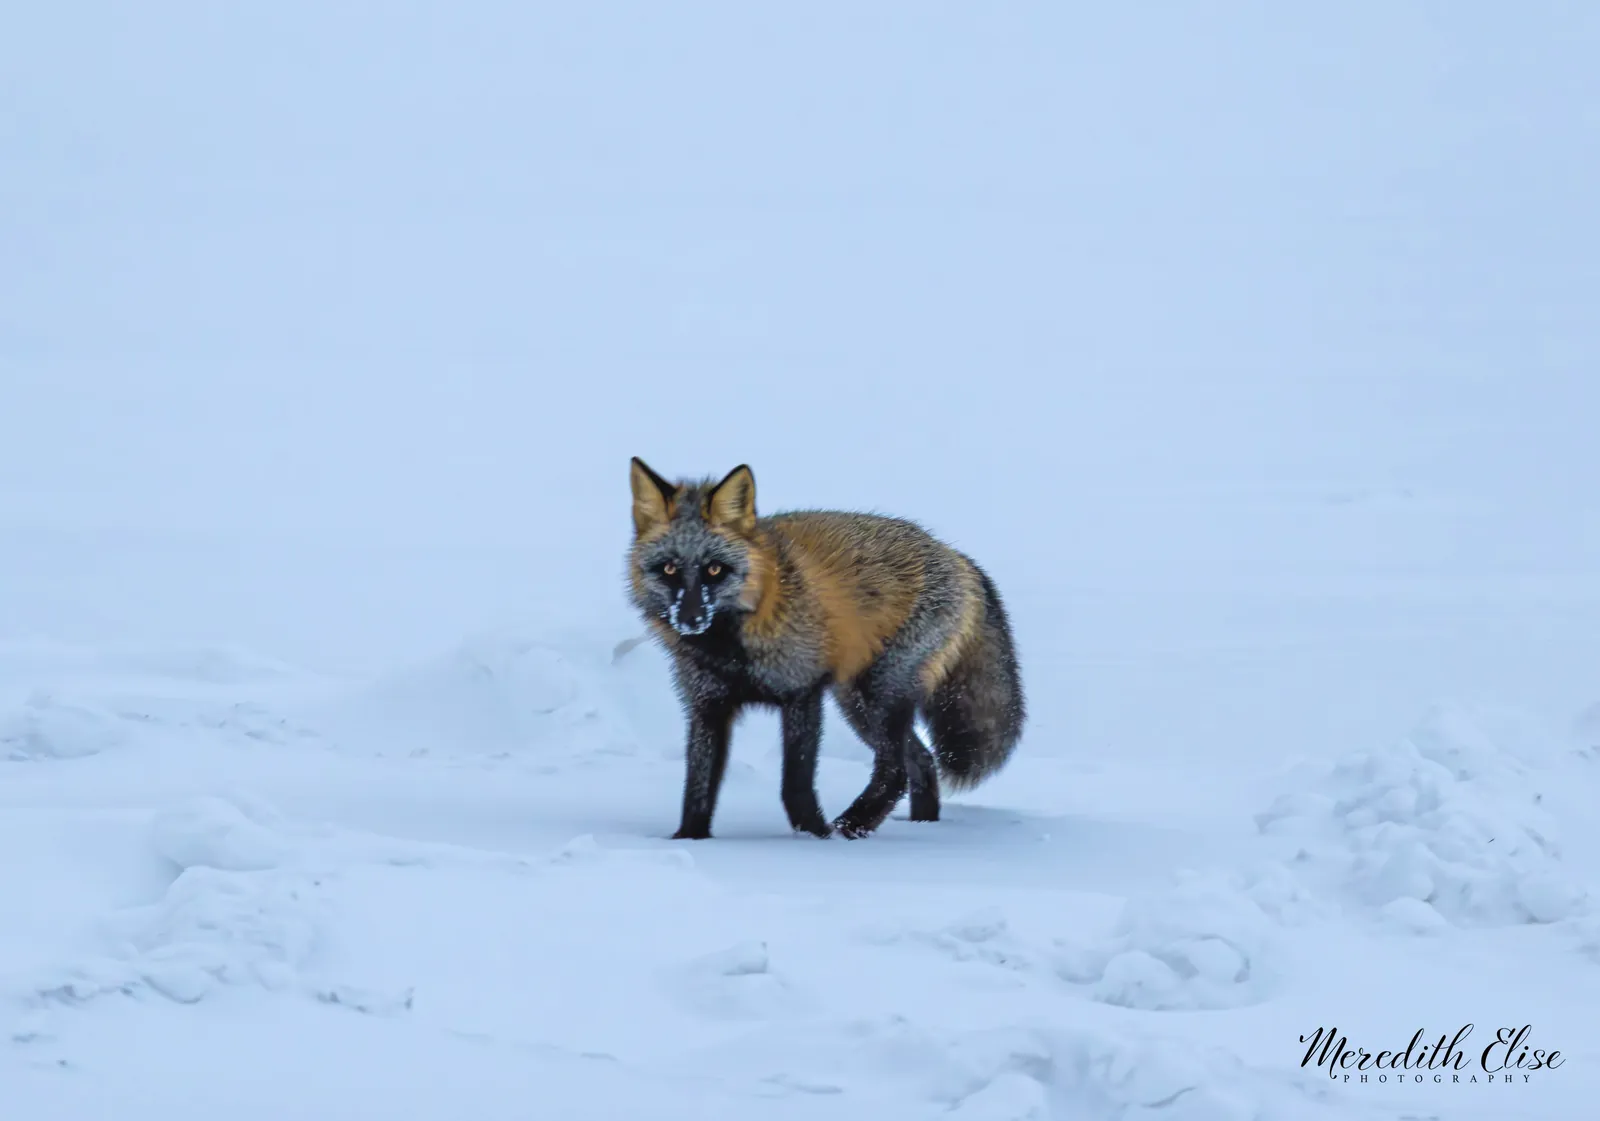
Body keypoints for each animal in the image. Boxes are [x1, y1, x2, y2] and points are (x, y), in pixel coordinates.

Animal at [625, 457, 1026, 840]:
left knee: (896, 769)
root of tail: (956, 555)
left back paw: (849, 828)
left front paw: (814, 837)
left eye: (714, 570)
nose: (690, 619)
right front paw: (689, 839)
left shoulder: (803, 692)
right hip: (858, 704)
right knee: (923, 762)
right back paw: (920, 827)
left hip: (877, 696)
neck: (733, 651)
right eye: (669, 569)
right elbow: (698, 788)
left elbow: (795, 783)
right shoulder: (708, 706)